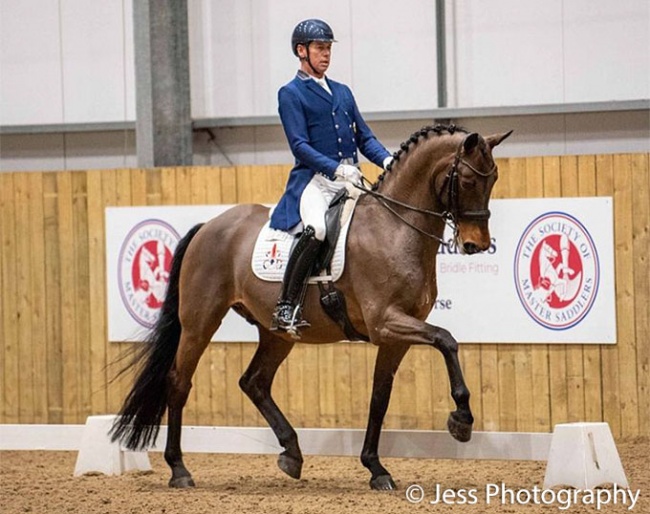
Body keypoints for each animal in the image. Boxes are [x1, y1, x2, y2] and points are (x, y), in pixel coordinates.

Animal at [110, 123, 512, 488]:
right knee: (179, 381)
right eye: (468, 180)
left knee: (254, 382)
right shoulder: (386, 321)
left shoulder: (394, 335)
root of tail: (208, 225)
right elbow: (447, 339)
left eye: (493, 179)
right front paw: (461, 419)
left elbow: (380, 397)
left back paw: (291, 454)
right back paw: (179, 470)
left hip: (276, 333)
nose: (476, 244)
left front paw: (376, 468)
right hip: (200, 321)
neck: (394, 229)